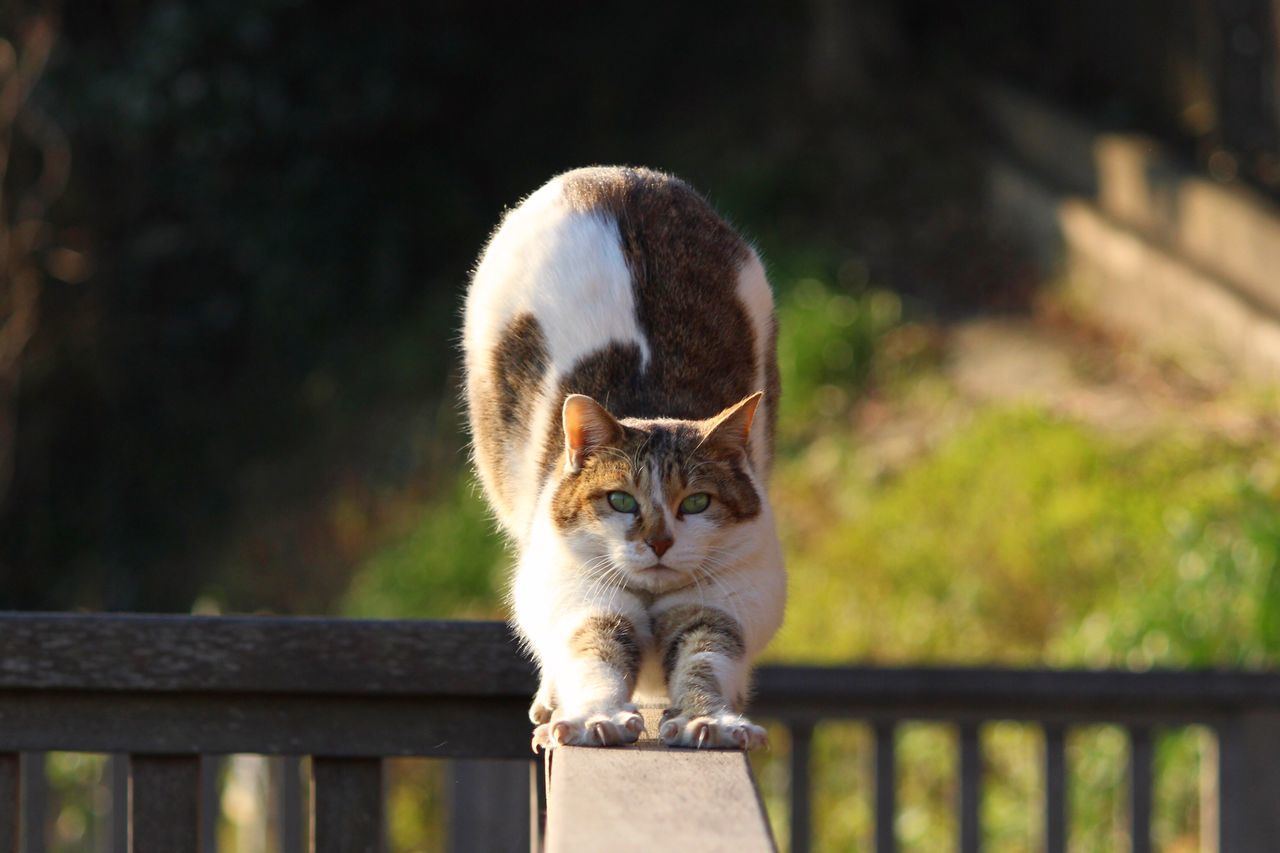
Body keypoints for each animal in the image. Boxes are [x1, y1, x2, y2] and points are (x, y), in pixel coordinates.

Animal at [460, 163, 778, 742]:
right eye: (621, 501)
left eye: (696, 503)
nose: (659, 542)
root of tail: (614, 175)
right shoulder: (588, 603)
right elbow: (597, 657)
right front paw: (595, 718)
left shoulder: (719, 604)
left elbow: (706, 662)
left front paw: (710, 721)